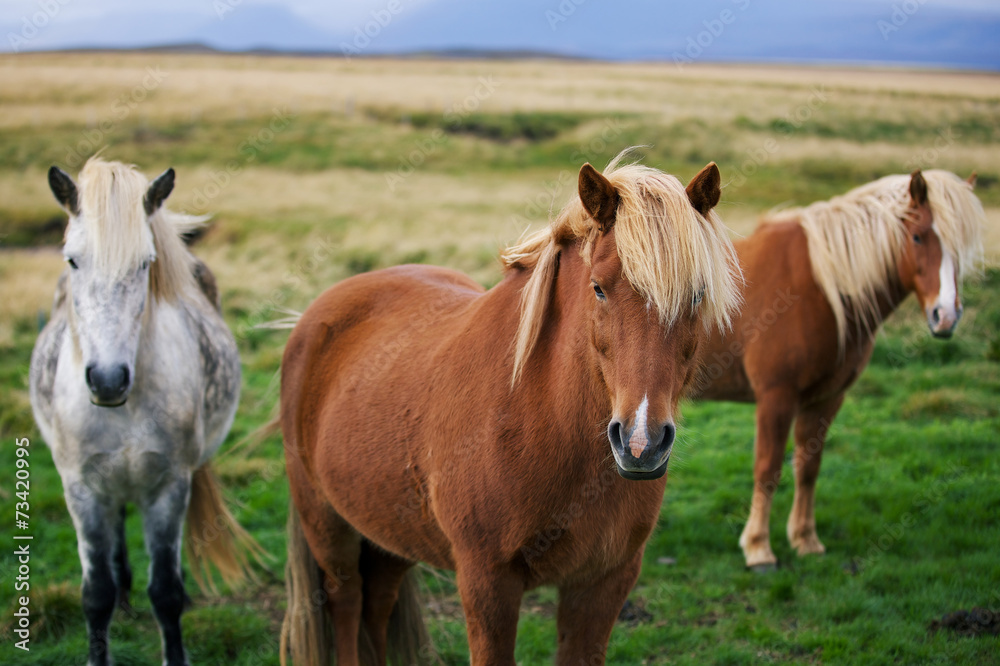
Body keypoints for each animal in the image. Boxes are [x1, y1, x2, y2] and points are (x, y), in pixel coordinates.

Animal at [280, 154, 744, 660]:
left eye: (697, 294)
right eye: (599, 288)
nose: (641, 443)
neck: (540, 420)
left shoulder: (603, 583)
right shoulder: (487, 583)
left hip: (388, 533)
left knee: (377, 606)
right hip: (328, 526)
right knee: (346, 605)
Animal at [688, 169, 984, 568]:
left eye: (961, 247)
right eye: (918, 236)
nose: (946, 316)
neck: (821, 285)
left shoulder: (825, 399)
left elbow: (808, 468)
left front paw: (805, 539)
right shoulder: (776, 397)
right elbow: (768, 468)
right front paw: (759, 548)